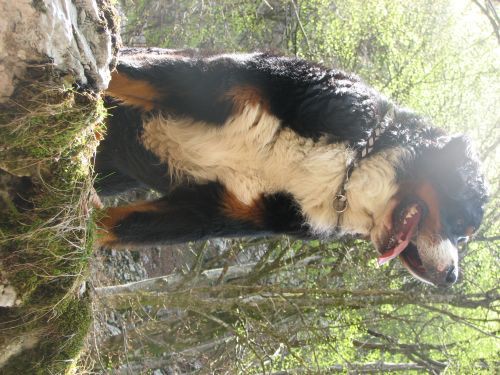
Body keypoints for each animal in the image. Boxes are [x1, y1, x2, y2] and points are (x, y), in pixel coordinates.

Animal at [94, 47, 488, 288]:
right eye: (460, 224)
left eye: (466, 236)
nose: (452, 277)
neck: (345, 170)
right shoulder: (214, 80)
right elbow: (124, 72)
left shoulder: (213, 211)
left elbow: (118, 226)